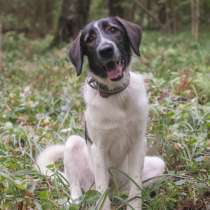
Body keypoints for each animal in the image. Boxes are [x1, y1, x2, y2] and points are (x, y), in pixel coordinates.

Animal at [36, 16, 166, 210]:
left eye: (113, 29)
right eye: (89, 39)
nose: (105, 49)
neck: (116, 95)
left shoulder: (138, 143)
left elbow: (136, 189)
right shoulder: (98, 150)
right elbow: (102, 191)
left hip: (157, 164)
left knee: (126, 190)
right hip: (74, 145)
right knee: (80, 189)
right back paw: (75, 201)